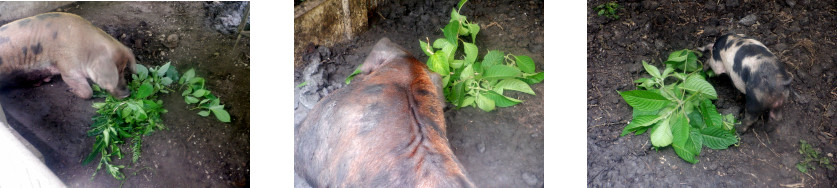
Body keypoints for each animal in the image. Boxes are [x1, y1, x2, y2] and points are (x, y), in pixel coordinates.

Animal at [0, 12, 136, 99]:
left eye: (123, 69)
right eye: (115, 72)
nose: (128, 94)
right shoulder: (67, 67)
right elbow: (87, 91)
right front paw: (70, 90)